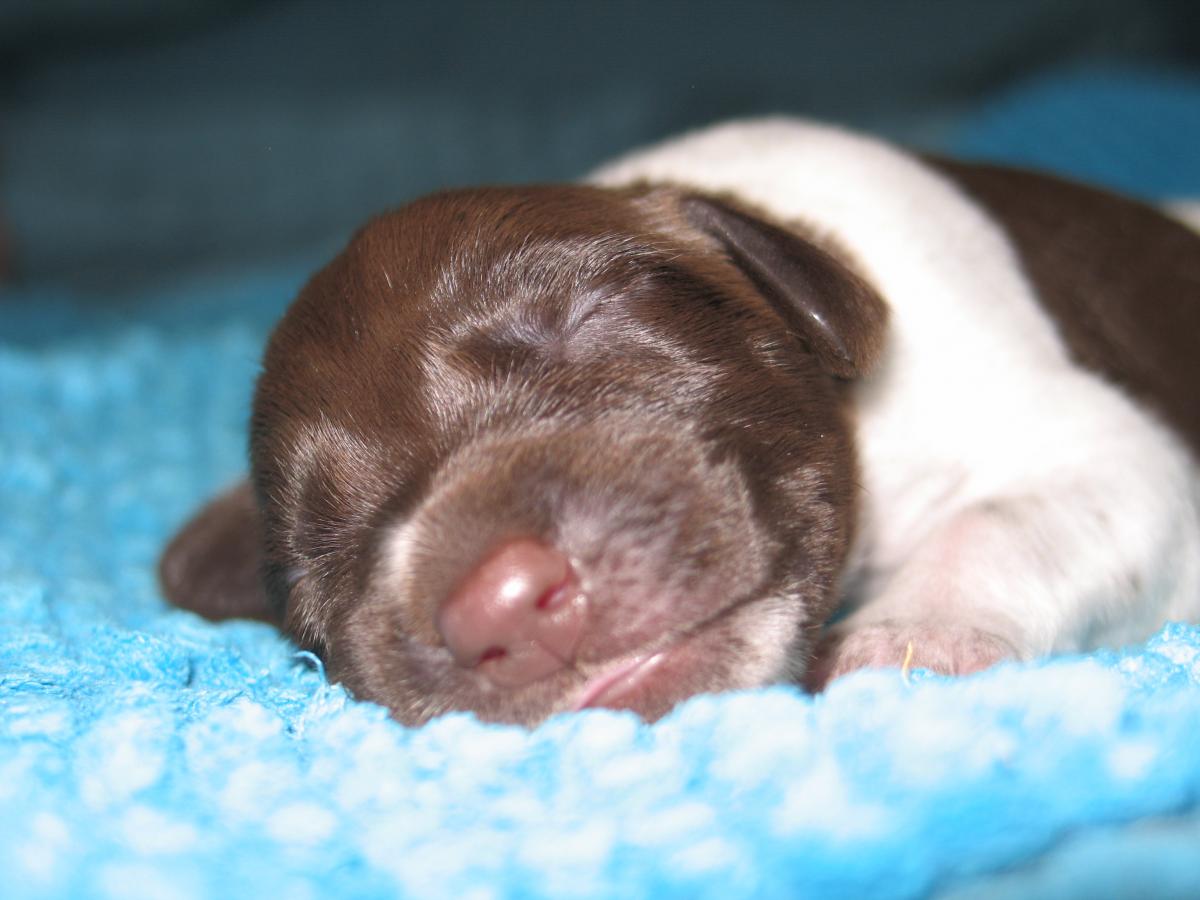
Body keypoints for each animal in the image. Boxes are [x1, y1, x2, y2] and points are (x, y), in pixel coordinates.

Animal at [160, 119, 1200, 727]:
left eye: (586, 322)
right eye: (316, 554)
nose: (503, 608)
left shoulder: (1094, 440)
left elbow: (1002, 519)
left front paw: (914, 636)